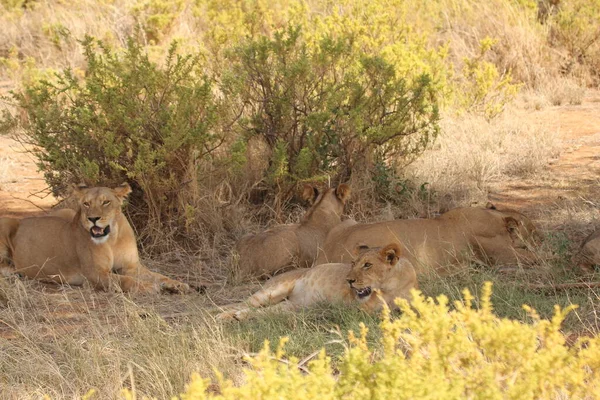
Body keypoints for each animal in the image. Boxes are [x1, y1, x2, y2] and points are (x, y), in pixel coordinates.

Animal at [0, 183, 190, 292]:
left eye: (106, 202)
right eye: (86, 204)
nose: (93, 219)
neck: (112, 238)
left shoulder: (131, 266)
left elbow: (158, 275)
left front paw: (177, 284)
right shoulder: (96, 274)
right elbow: (126, 281)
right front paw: (149, 287)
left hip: (66, 211)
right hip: (6, 222)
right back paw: (13, 271)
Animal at [217, 242, 418, 320]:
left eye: (367, 265)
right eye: (353, 263)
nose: (349, 280)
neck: (390, 286)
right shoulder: (354, 309)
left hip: (291, 306)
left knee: (268, 312)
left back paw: (238, 316)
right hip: (272, 291)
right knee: (244, 304)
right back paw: (224, 315)